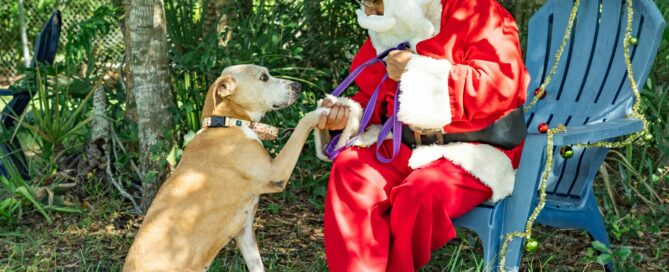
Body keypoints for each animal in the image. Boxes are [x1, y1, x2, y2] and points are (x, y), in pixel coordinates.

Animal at [124, 65, 328, 270]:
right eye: (264, 77)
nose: (298, 86)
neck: (227, 123)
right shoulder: (276, 173)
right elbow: (302, 124)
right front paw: (322, 110)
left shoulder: (245, 232)